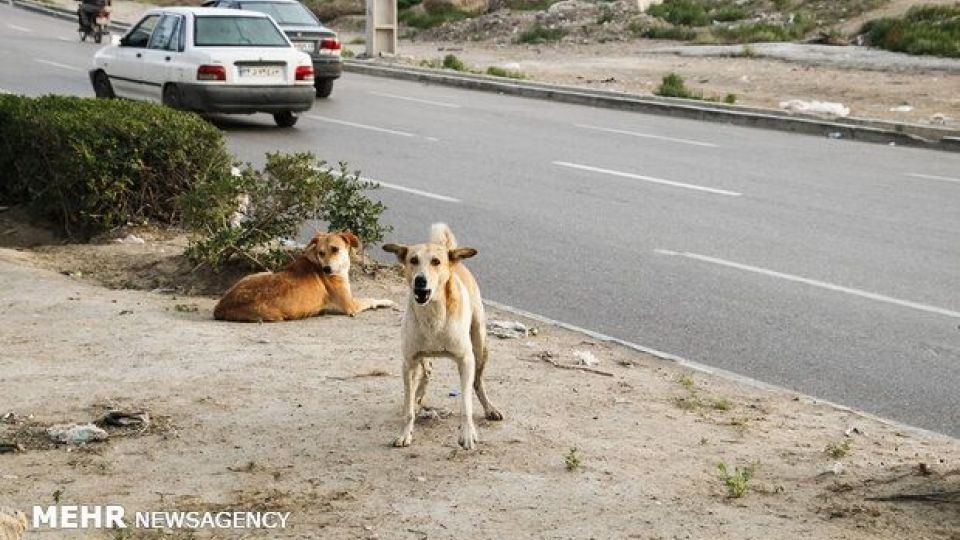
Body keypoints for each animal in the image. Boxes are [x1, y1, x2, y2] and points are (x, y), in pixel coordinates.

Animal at [214, 231, 394, 322]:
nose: (326, 269)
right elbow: (371, 299)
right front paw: (388, 301)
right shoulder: (351, 305)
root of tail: (221, 307)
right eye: (321, 252)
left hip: (261, 273)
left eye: (335, 249)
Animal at [382, 221, 502, 450]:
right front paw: (405, 433)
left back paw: (490, 408)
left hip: (480, 344)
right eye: (413, 260)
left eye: (436, 262)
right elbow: (407, 406)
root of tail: (454, 257)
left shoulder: (465, 360)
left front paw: (468, 434)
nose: (420, 280)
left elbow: (466, 403)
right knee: (426, 371)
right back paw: (419, 397)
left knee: (477, 382)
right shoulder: (408, 362)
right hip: (420, 356)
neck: (433, 314)